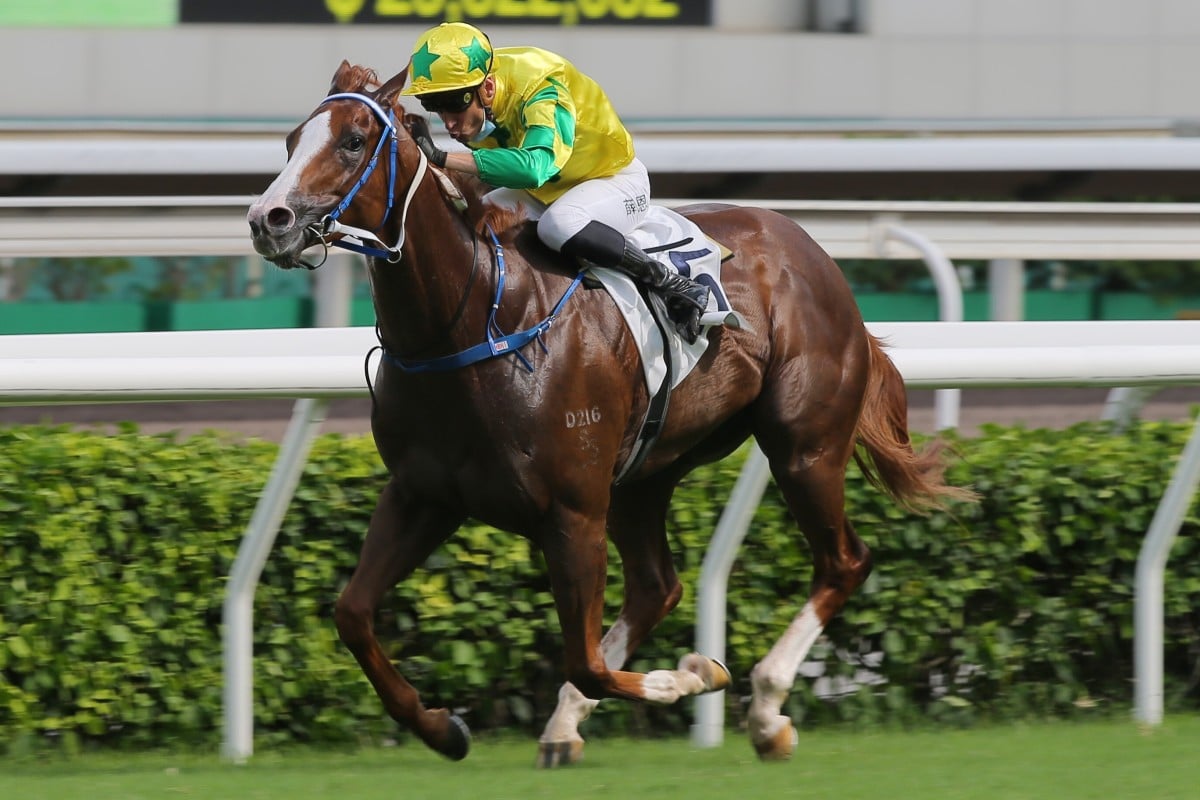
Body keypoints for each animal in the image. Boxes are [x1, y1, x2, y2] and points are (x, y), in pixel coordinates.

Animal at [248, 61, 969, 762]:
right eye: (290, 141)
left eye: (352, 141)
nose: (268, 219)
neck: (472, 324)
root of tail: (812, 250)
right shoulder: (422, 494)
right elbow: (352, 614)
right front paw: (441, 728)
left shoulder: (571, 512)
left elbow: (587, 661)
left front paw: (689, 677)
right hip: (644, 473)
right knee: (657, 585)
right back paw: (568, 727)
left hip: (803, 446)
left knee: (843, 561)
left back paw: (766, 710)